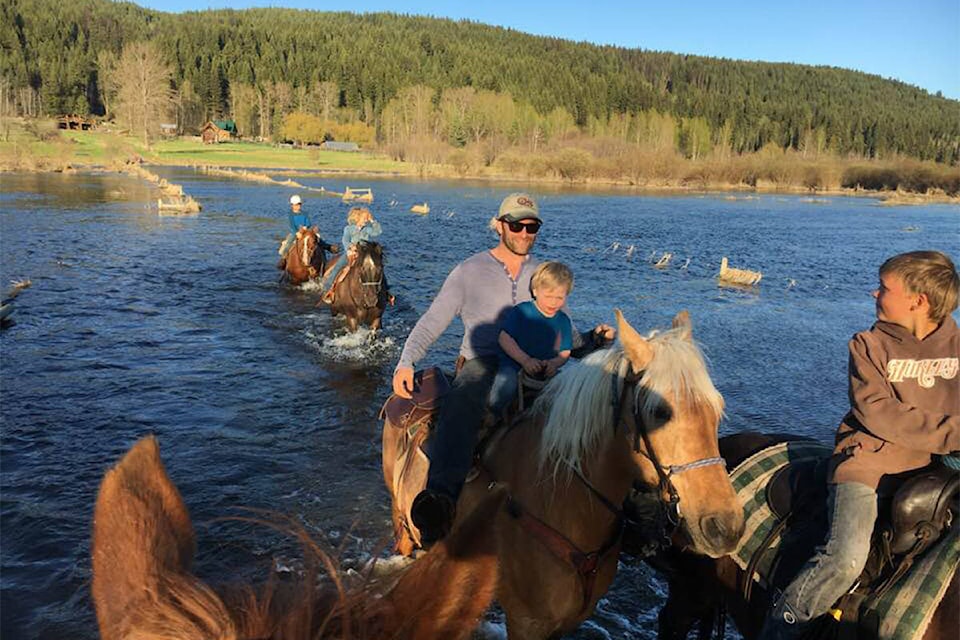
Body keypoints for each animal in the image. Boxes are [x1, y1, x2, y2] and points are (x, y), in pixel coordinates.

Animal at [382, 310, 744, 640]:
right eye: (659, 411)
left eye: (717, 408)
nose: (725, 526)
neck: (561, 500)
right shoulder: (526, 623)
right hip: (402, 518)